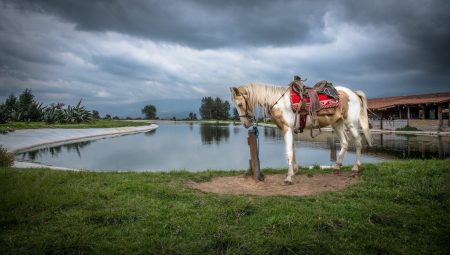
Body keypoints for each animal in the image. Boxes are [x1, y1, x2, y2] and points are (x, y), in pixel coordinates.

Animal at [230, 82, 370, 184]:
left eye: (240, 104)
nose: (245, 124)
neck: (279, 101)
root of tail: (354, 93)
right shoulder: (290, 130)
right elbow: (293, 150)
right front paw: (294, 171)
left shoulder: (286, 129)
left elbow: (289, 153)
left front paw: (288, 177)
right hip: (337, 123)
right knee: (345, 142)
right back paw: (337, 166)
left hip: (351, 123)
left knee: (358, 141)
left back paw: (355, 167)